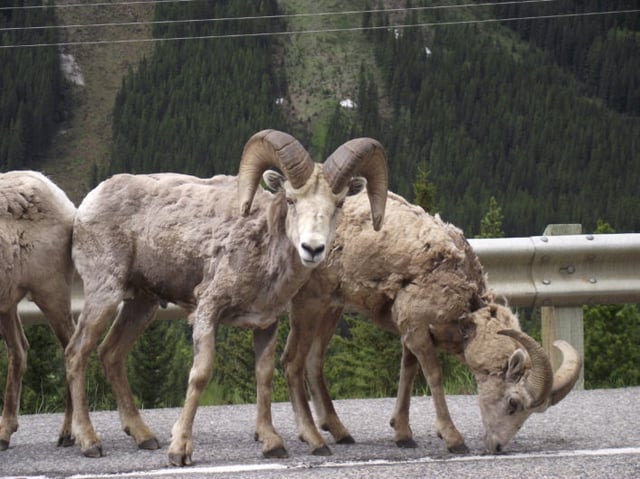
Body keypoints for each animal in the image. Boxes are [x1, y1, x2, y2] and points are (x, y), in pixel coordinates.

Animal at [0, 171, 76, 451]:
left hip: (51, 291)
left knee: (71, 348)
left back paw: (67, 434)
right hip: (8, 302)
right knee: (19, 350)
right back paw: (4, 433)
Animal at [64, 129, 388, 466]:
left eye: (338, 203)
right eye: (290, 199)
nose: (312, 248)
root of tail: (88, 203)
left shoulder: (266, 324)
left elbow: (264, 376)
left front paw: (272, 443)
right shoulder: (207, 311)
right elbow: (201, 374)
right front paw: (179, 451)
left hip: (142, 305)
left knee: (111, 354)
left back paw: (144, 437)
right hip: (105, 294)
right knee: (77, 353)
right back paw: (90, 442)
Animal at [279, 189, 582, 455]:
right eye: (512, 403)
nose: (496, 447)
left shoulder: (410, 330)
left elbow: (408, 371)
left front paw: (403, 434)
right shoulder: (417, 332)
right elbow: (433, 376)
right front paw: (453, 439)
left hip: (331, 307)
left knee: (313, 361)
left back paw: (339, 432)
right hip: (308, 303)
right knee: (293, 361)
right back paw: (311, 439)